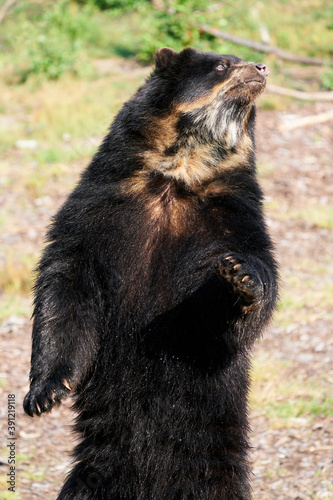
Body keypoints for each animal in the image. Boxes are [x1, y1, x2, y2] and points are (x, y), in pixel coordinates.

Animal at [24, 47, 278, 500]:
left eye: (238, 61)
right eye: (222, 65)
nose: (262, 67)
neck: (178, 173)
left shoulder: (230, 213)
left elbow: (237, 294)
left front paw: (240, 278)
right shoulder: (102, 204)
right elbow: (65, 279)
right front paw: (44, 393)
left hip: (215, 465)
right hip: (92, 473)